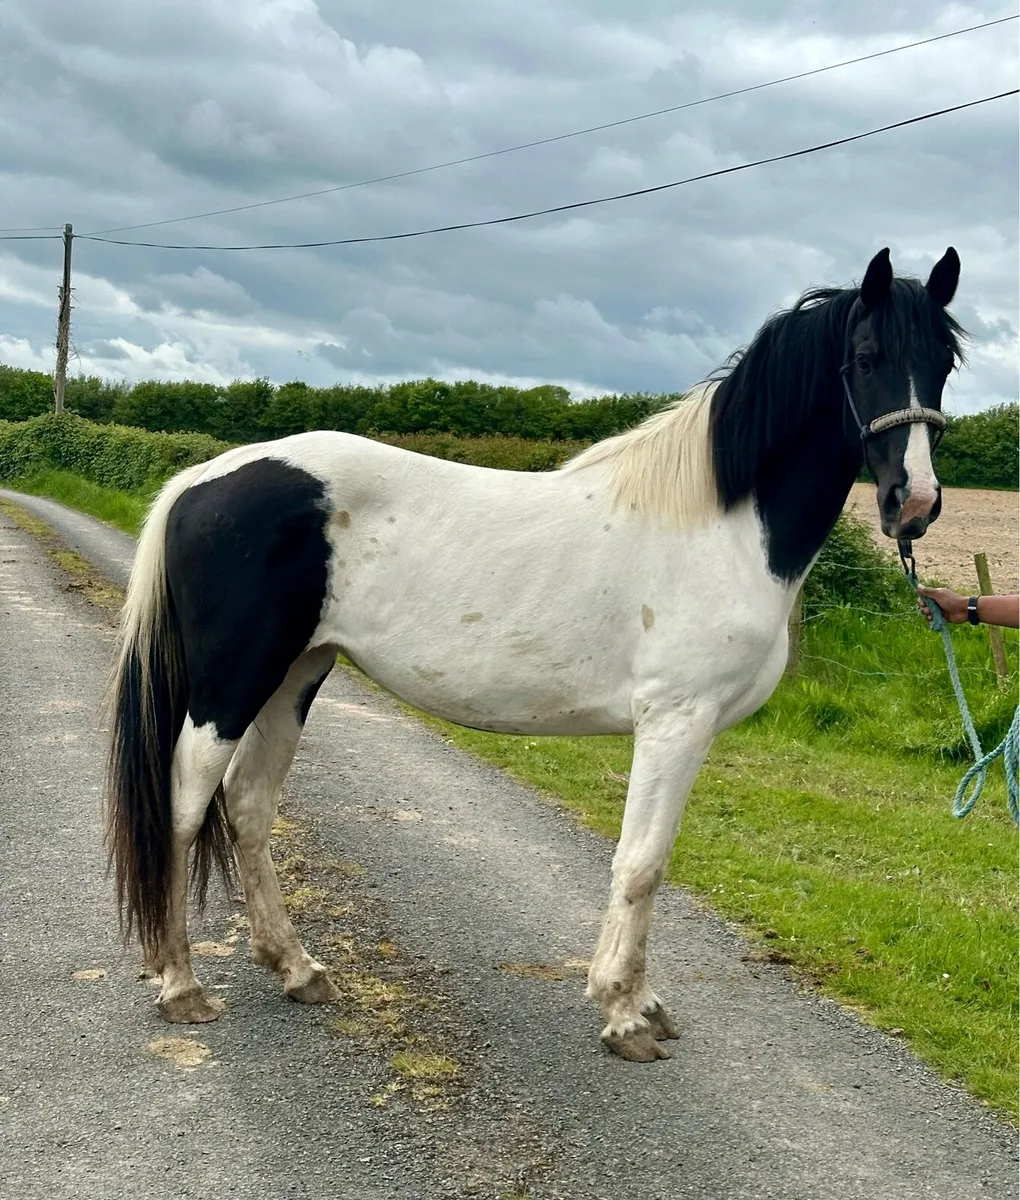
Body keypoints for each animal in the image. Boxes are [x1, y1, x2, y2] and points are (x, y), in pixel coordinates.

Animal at [106, 246, 963, 1061]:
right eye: (866, 355)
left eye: (946, 363)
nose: (914, 504)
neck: (718, 524)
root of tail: (202, 476)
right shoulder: (675, 720)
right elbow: (641, 862)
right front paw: (625, 1014)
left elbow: (650, 862)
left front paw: (640, 1002)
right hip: (231, 683)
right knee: (183, 807)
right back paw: (182, 986)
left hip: (295, 675)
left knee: (249, 805)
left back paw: (298, 969)